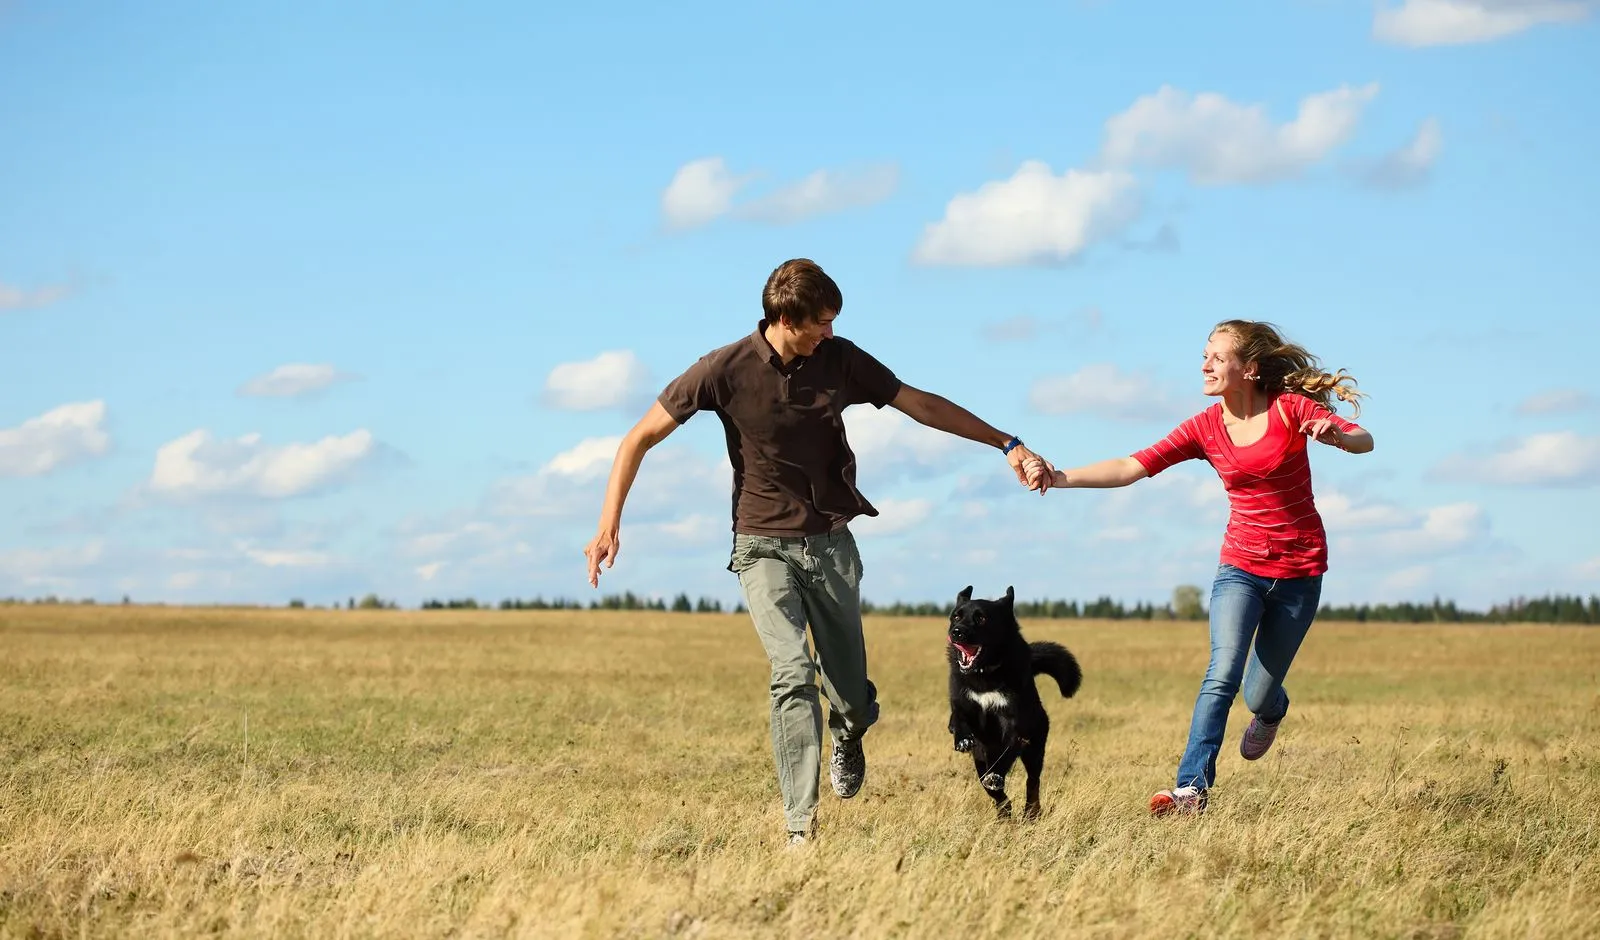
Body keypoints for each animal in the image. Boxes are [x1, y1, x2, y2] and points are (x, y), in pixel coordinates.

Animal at [940, 585, 1081, 818]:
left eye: (981, 618)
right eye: (956, 617)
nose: (956, 632)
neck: (985, 675)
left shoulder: (1015, 727)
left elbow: (1005, 758)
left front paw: (996, 776)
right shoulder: (963, 706)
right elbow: (959, 720)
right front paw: (962, 740)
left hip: (1035, 750)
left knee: (1032, 782)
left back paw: (1030, 812)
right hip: (982, 757)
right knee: (992, 788)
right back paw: (1004, 811)